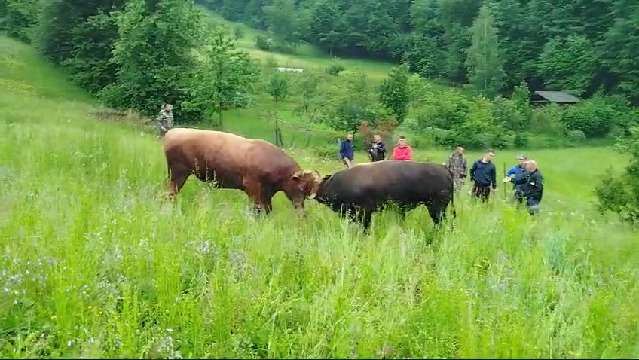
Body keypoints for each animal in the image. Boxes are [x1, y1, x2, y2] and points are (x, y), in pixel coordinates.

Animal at [161, 129, 318, 214]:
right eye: (301, 187)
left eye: (308, 190)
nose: (301, 209)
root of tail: (173, 132)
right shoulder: (252, 187)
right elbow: (257, 209)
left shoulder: (266, 193)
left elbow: (267, 210)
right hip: (178, 175)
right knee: (170, 194)